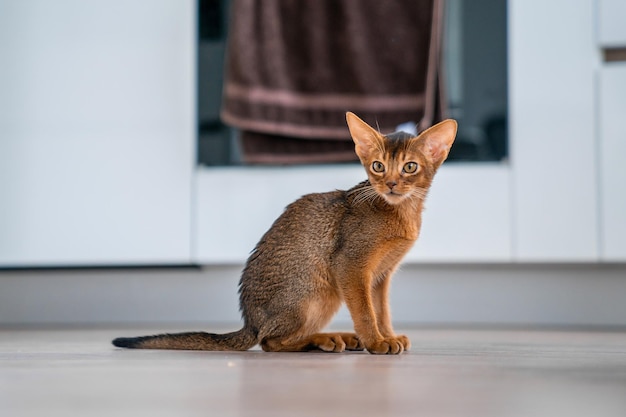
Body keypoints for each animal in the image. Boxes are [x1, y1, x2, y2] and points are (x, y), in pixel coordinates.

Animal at [111, 112, 454, 352]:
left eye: (409, 167)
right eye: (378, 166)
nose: (392, 184)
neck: (400, 212)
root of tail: (249, 322)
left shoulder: (380, 277)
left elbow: (382, 311)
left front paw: (388, 336)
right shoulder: (351, 267)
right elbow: (366, 313)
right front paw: (377, 342)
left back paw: (338, 337)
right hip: (315, 291)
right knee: (269, 341)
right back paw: (324, 341)